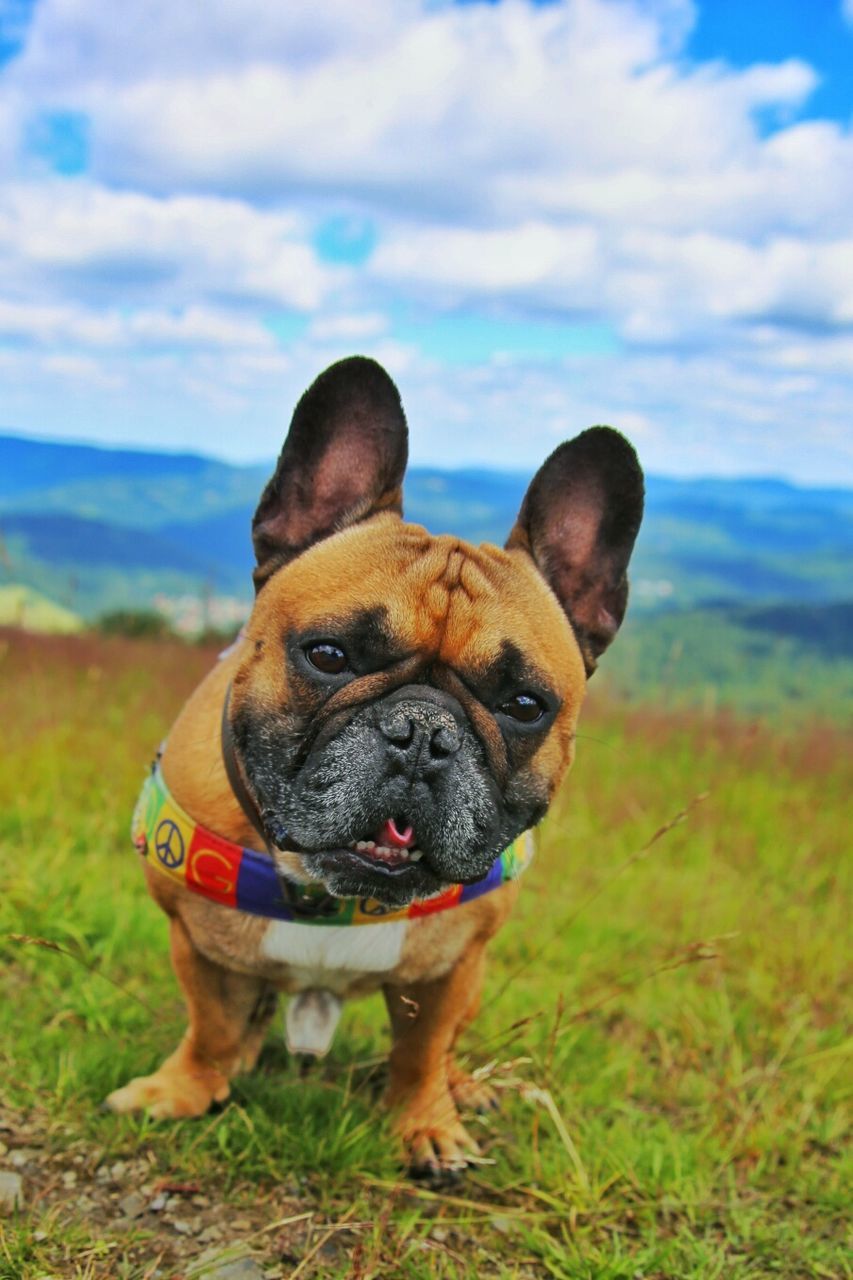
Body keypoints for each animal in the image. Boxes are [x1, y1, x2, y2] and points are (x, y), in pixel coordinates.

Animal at [106, 355, 637, 1172]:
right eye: (328, 655)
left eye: (523, 705)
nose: (423, 733)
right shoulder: (193, 935)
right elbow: (211, 1023)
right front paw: (184, 1088)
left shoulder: (452, 967)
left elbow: (420, 1049)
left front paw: (424, 1123)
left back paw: (464, 1086)